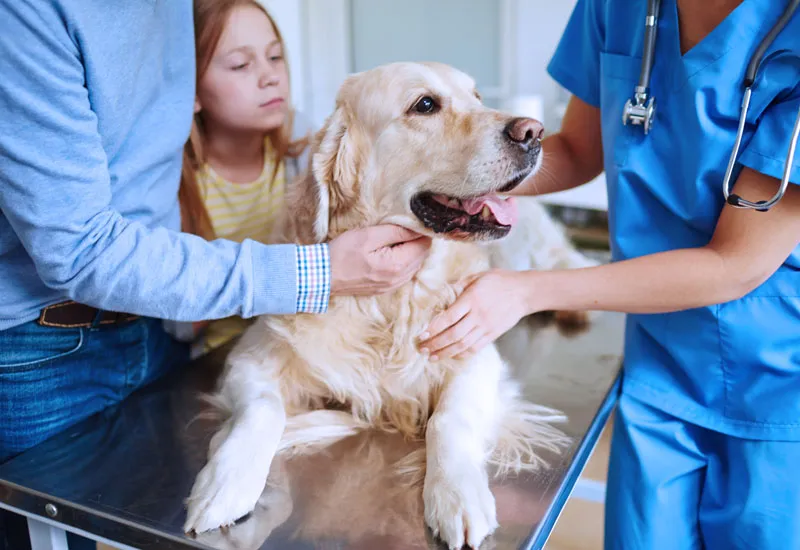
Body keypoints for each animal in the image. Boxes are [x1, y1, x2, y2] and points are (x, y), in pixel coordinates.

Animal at [188, 61, 588, 550]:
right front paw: (224, 485)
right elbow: (263, 409)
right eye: (425, 104)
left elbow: (448, 419)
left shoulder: (476, 352)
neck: (389, 303)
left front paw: (456, 495)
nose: (533, 132)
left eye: (475, 96)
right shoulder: (251, 355)